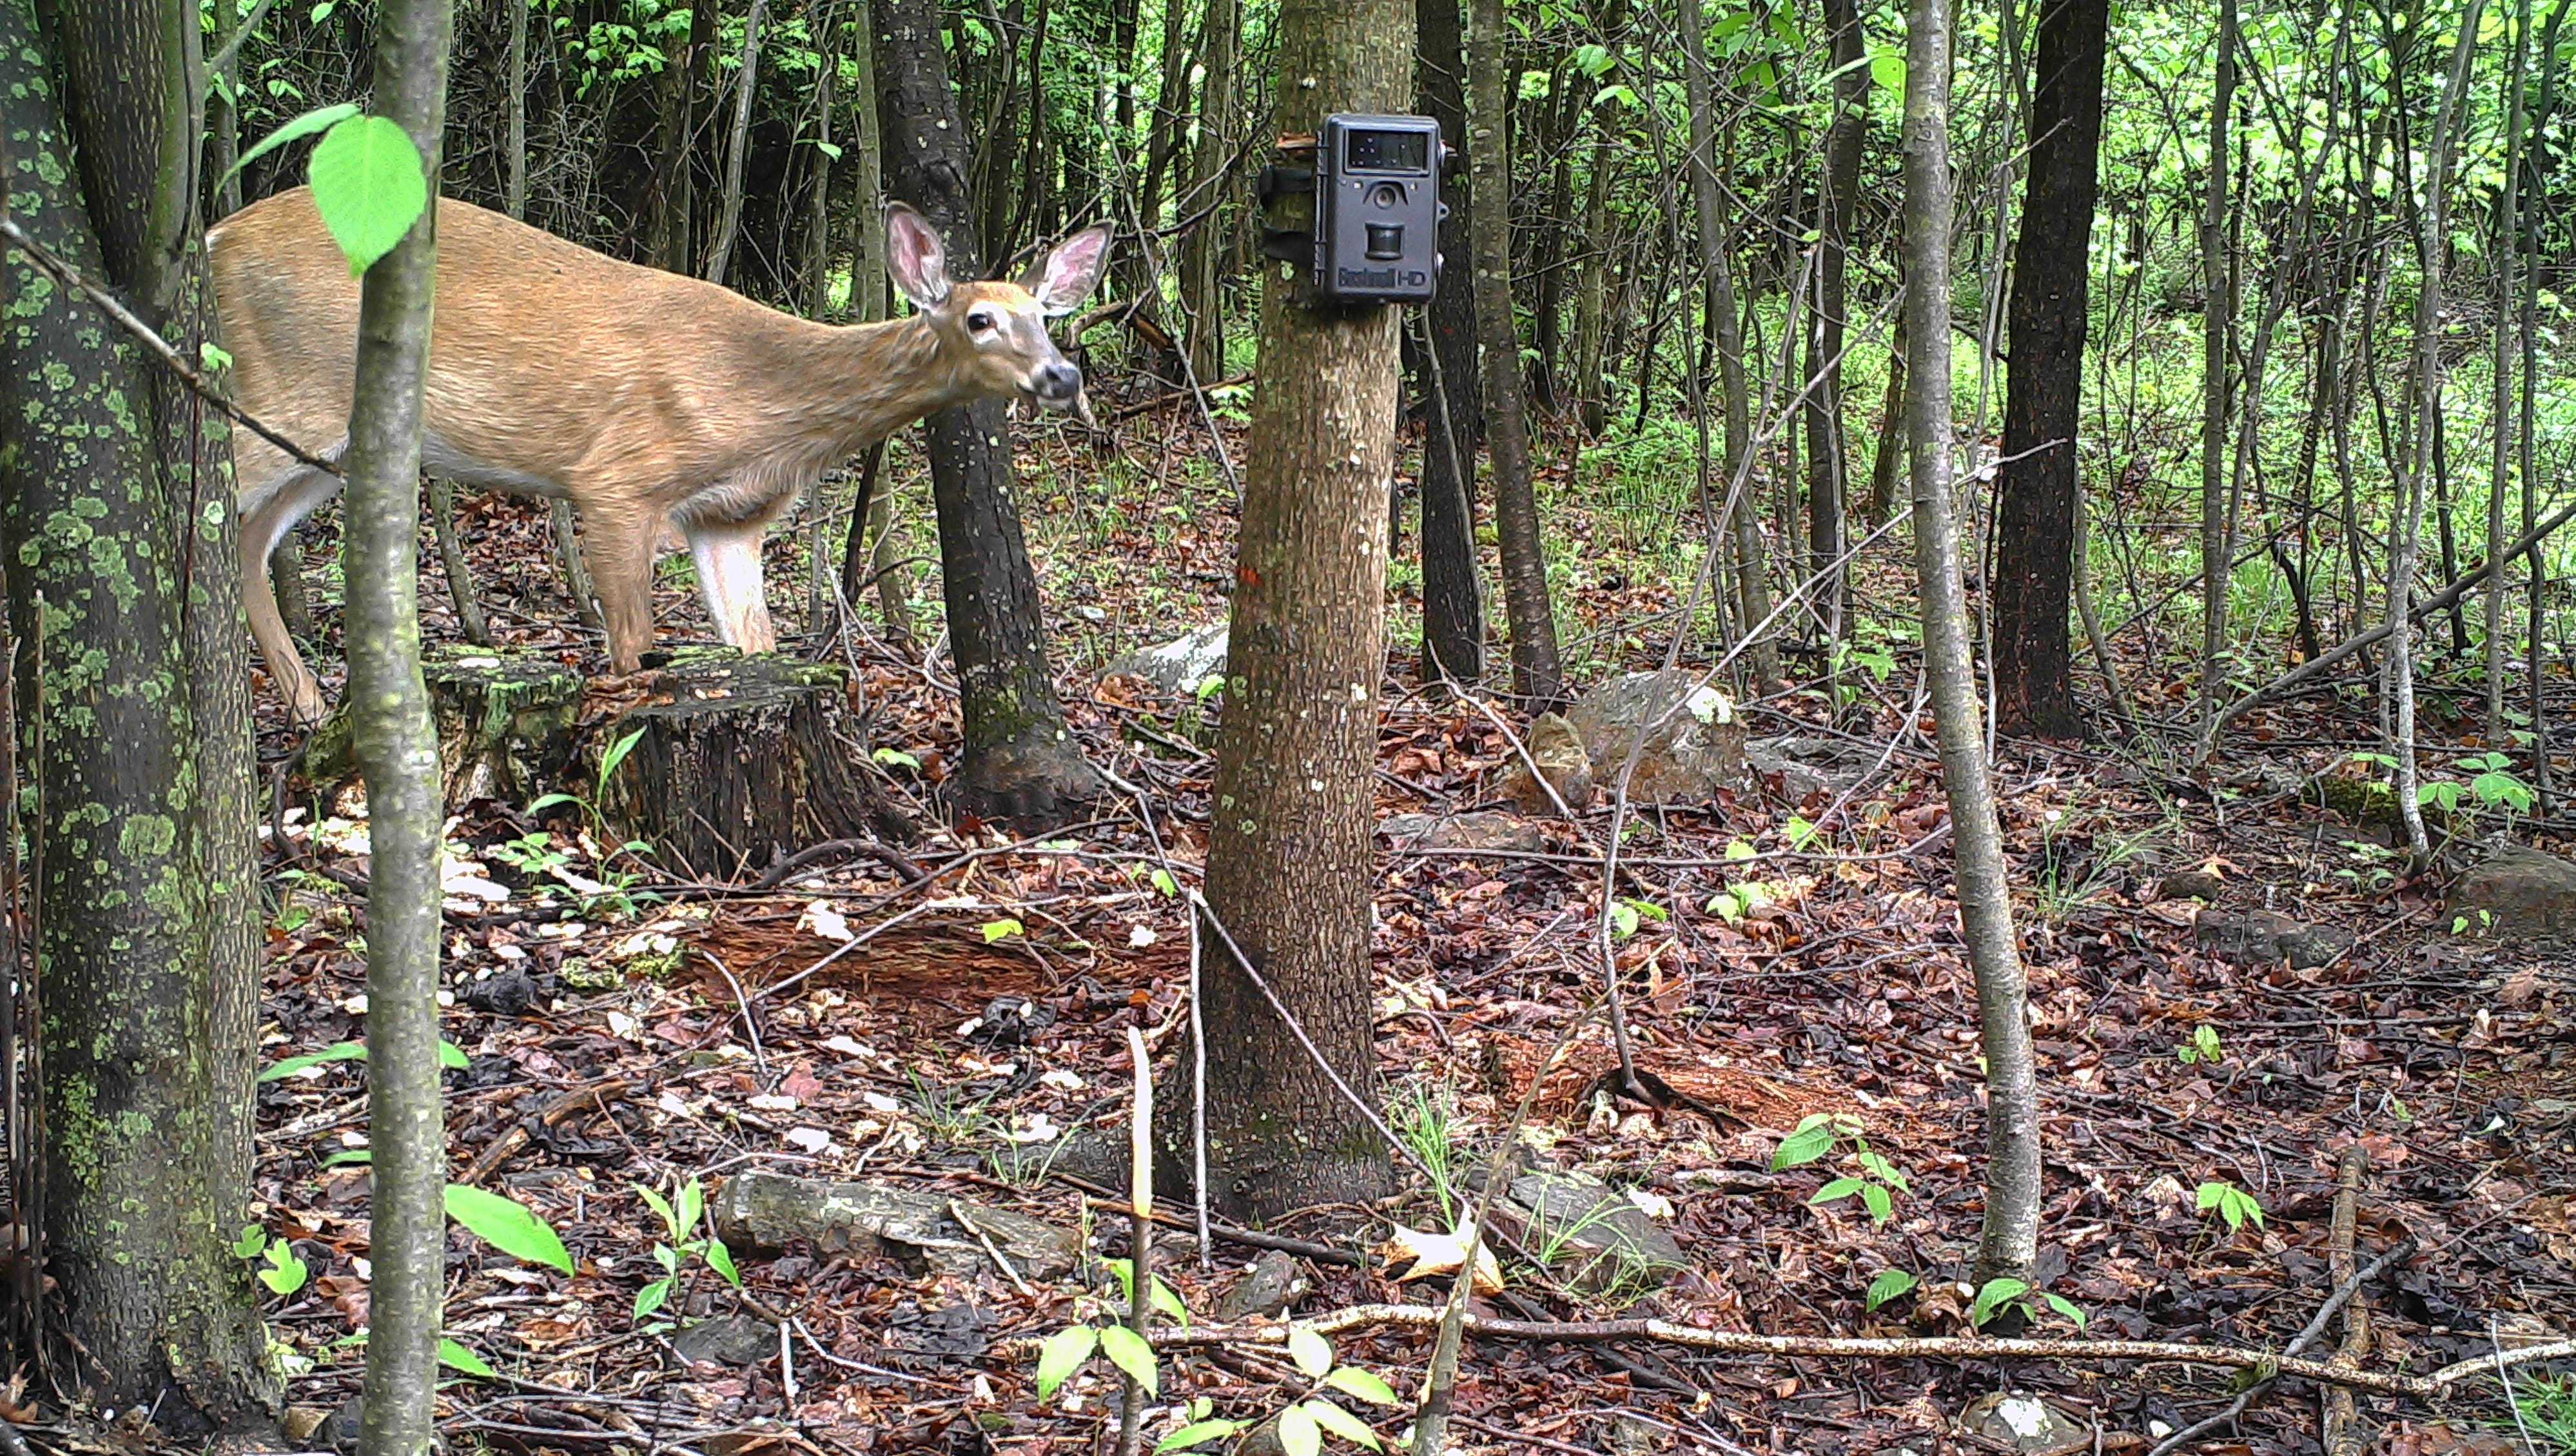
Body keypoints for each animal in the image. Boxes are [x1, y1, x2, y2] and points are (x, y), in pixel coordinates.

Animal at [208, 188, 1112, 725]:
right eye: (980, 320)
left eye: (1045, 314)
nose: (1063, 375)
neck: (763, 408)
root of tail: (215, 234)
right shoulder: (617, 479)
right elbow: (630, 650)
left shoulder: (729, 520)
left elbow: (755, 648)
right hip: (271, 391)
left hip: (320, 444)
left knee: (248, 539)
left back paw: (309, 707)